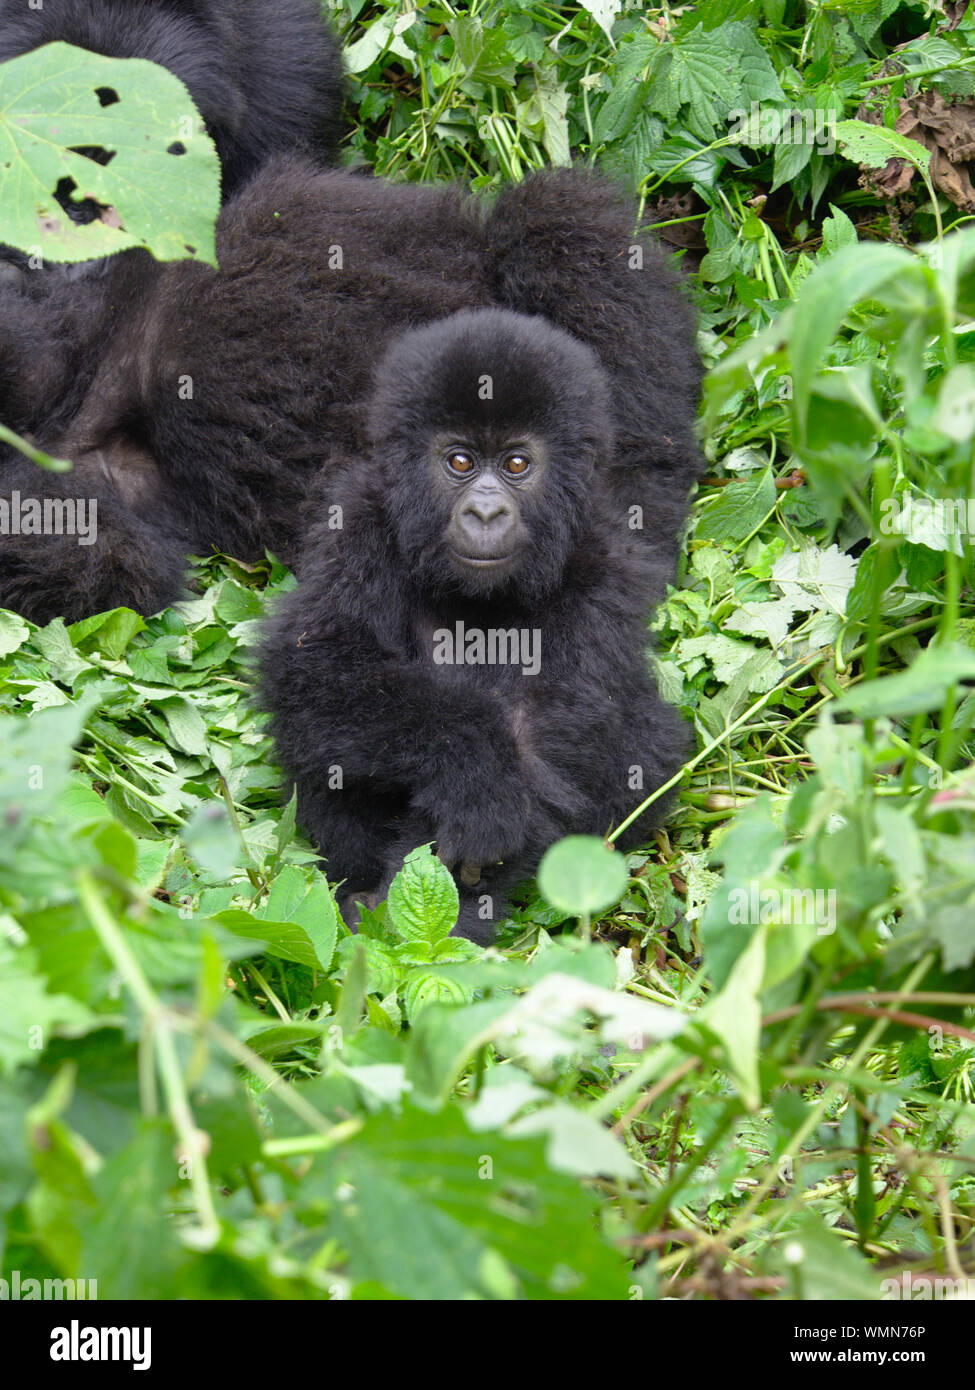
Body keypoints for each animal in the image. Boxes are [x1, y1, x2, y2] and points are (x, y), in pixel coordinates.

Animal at [258, 312, 684, 945]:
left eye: (516, 465)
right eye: (460, 462)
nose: (485, 512)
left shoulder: (604, 559)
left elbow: (547, 731)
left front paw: (445, 917)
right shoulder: (357, 519)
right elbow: (316, 663)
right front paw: (475, 770)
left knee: (646, 744)